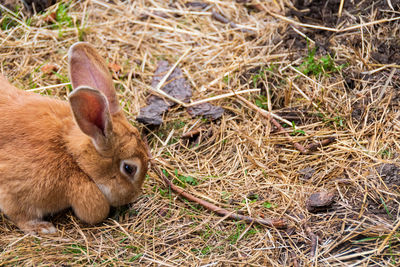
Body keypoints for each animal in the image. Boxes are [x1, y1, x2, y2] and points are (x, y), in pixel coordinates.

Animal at [0, 42, 148, 234]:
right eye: (129, 168)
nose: (133, 196)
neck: (71, 154)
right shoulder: (14, 191)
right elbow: (19, 215)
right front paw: (43, 228)